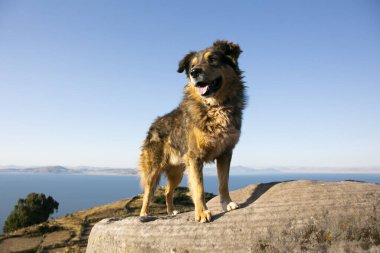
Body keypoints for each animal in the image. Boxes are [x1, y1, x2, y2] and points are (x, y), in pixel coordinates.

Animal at [140, 40, 246, 222]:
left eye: (213, 59)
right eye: (193, 65)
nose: (193, 72)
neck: (215, 106)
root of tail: (153, 125)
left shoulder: (225, 153)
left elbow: (223, 182)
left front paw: (227, 203)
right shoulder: (195, 158)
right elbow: (198, 188)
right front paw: (202, 212)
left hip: (177, 171)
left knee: (167, 191)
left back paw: (171, 212)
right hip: (153, 170)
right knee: (148, 193)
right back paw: (144, 214)